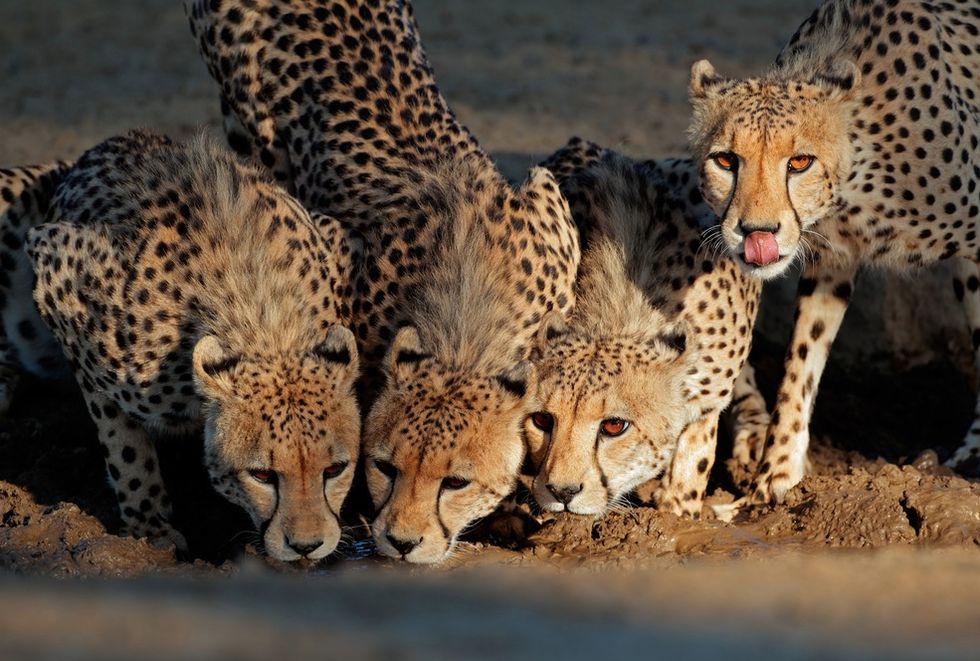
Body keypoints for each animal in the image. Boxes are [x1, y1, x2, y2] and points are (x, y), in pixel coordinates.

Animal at [25, 130, 363, 561]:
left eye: (334, 469)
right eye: (262, 474)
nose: (307, 546)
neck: (266, 325)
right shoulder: (56, 270)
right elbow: (123, 442)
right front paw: (148, 524)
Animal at [525, 138, 762, 519]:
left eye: (614, 426)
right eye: (542, 420)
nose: (562, 491)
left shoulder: (706, 401)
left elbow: (690, 470)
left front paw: (676, 517)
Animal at [687, 0, 980, 506]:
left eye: (799, 162)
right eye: (725, 160)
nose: (756, 233)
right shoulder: (832, 261)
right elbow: (801, 361)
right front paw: (777, 474)